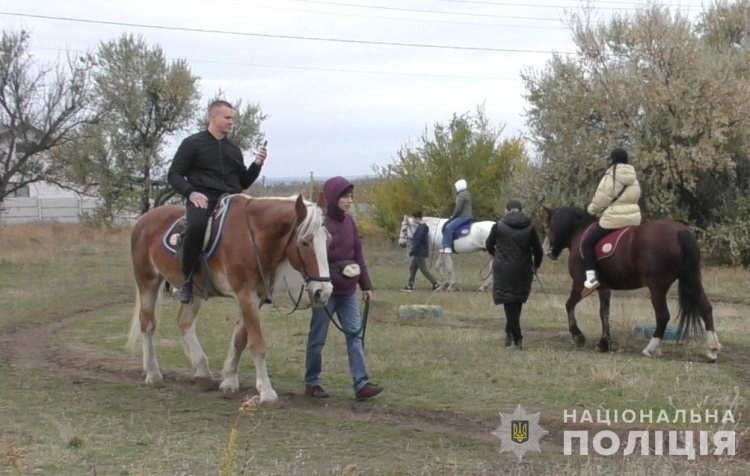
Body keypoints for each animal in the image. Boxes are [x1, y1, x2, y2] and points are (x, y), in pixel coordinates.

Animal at [128, 194, 334, 402]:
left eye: (328, 242)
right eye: (305, 242)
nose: (324, 292)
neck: (253, 237)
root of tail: (145, 219)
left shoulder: (256, 297)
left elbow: (240, 339)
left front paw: (229, 381)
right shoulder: (246, 294)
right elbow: (257, 343)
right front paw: (266, 391)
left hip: (194, 291)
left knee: (184, 322)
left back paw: (202, 372)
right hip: (148, 281)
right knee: (148, 324)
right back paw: (153, 374)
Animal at [540, 207, 724, 360]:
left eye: (548, 226)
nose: (546, 249)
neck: (580, 232)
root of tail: (680, 230)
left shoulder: (580, 284)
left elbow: (569, 305)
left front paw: (578, 336)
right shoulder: (604, 288)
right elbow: (604, 313)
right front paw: (604, 343)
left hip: (657, 287)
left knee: (663, 315)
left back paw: (651, 348)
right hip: (692, 280)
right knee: (706, 308)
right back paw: (711, 349)